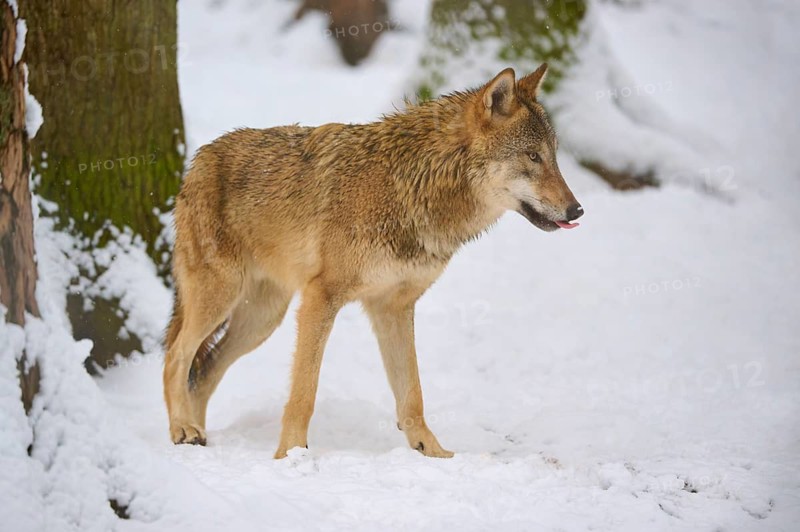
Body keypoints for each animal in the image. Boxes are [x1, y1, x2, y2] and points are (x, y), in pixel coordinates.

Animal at [163, 64, 583, 458]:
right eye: (533, 156)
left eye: (554, 157)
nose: (577, 209)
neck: (411, 187)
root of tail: (198, 160)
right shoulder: (321, 298)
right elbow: (304, 392)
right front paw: (291, 455)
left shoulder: (393, 306)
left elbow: (412, 394)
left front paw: (431, 452)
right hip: (222, 297)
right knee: (175, 357)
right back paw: (183, 429)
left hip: (262, 318)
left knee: (204, 371)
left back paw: (199, 433)